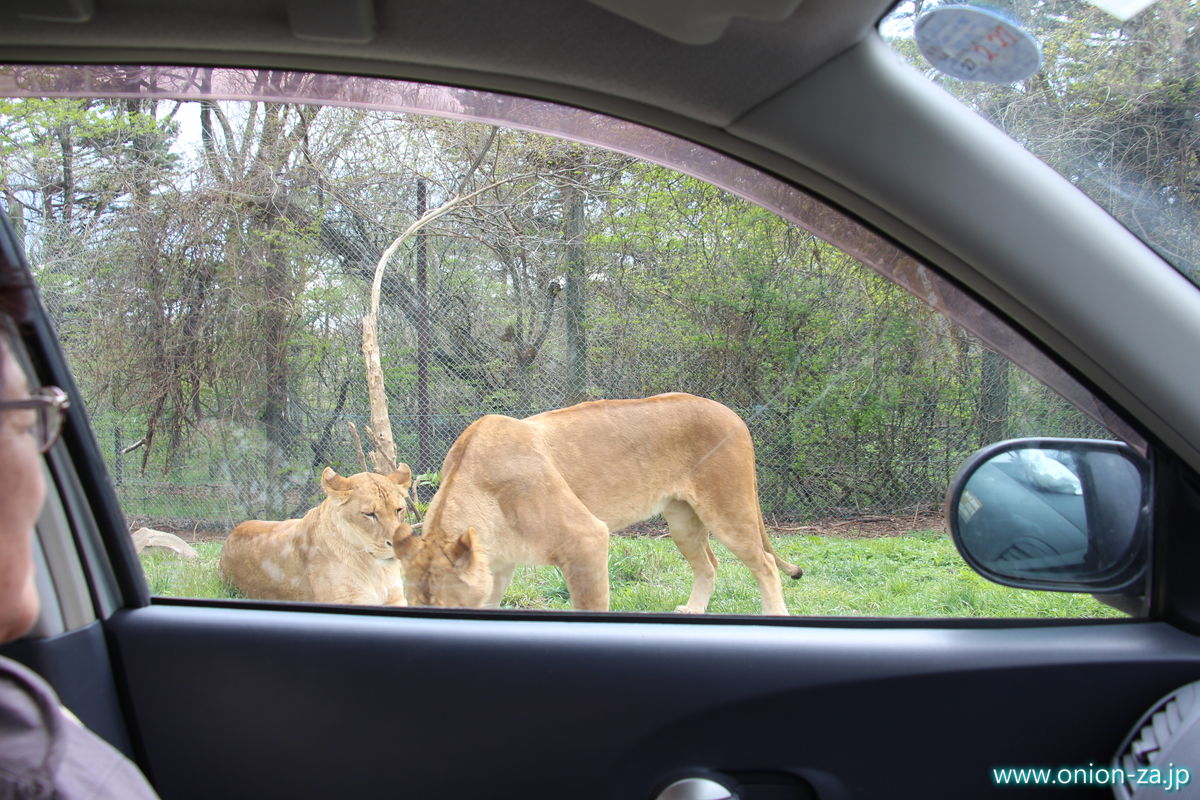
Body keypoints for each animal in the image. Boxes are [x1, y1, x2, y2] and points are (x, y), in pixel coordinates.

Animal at [220, 465, 412, 604]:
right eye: (370, 514)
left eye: (399, 509)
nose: (400, 543)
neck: (377, 569)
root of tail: (232, 533)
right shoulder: (347, 600)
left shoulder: (396, 598)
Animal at [393, 393, 801, 614]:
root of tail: (732, 412)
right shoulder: (499, 563)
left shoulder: (585, 538)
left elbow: (592, 603)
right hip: (682, 521)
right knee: (709, 564)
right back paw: (695, 608)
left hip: (728, 507)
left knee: (764, 563)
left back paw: (776, 613)